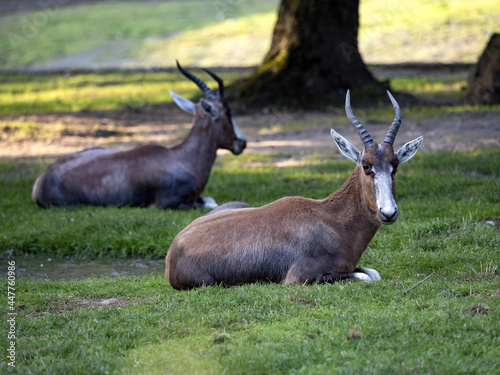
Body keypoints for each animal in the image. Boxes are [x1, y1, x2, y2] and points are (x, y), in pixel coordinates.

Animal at [31, 61, 246, 209]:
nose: (242, 143)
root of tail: (41, 181)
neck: (181, 157)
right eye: (228, 113)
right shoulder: (169, 204)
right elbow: (211, 203)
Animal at [166, 90, 424, 290]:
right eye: (366, 165)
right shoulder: (300, 278)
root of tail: (172, 252)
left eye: (395, 165)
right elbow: (365, 277)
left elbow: (373, 273)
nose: (388, 213)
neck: (330, 219)